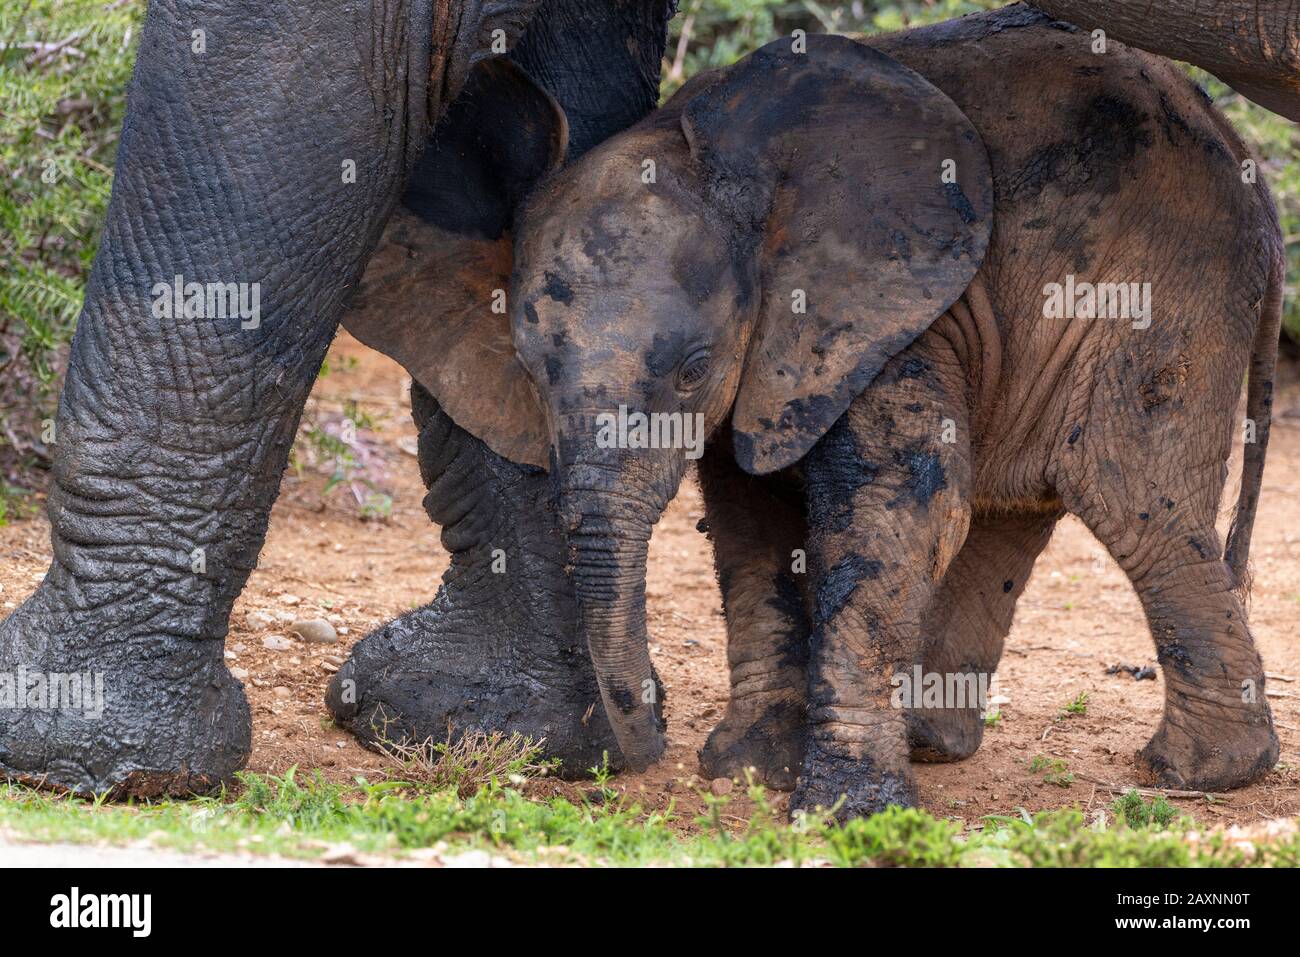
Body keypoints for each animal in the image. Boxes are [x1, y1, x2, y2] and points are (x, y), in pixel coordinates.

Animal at [364, 5, 1284, 817]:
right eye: (528, 369)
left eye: (694, 370)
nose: (640, 741)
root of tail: (1248, 163)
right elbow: (748, 518)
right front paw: (752, 768)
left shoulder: (889, 311)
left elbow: (893, 510)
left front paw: (844, 810)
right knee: (1014, 511)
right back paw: (932, 741)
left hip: (1164, 289)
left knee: (1130, 499)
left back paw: (1196, 773)